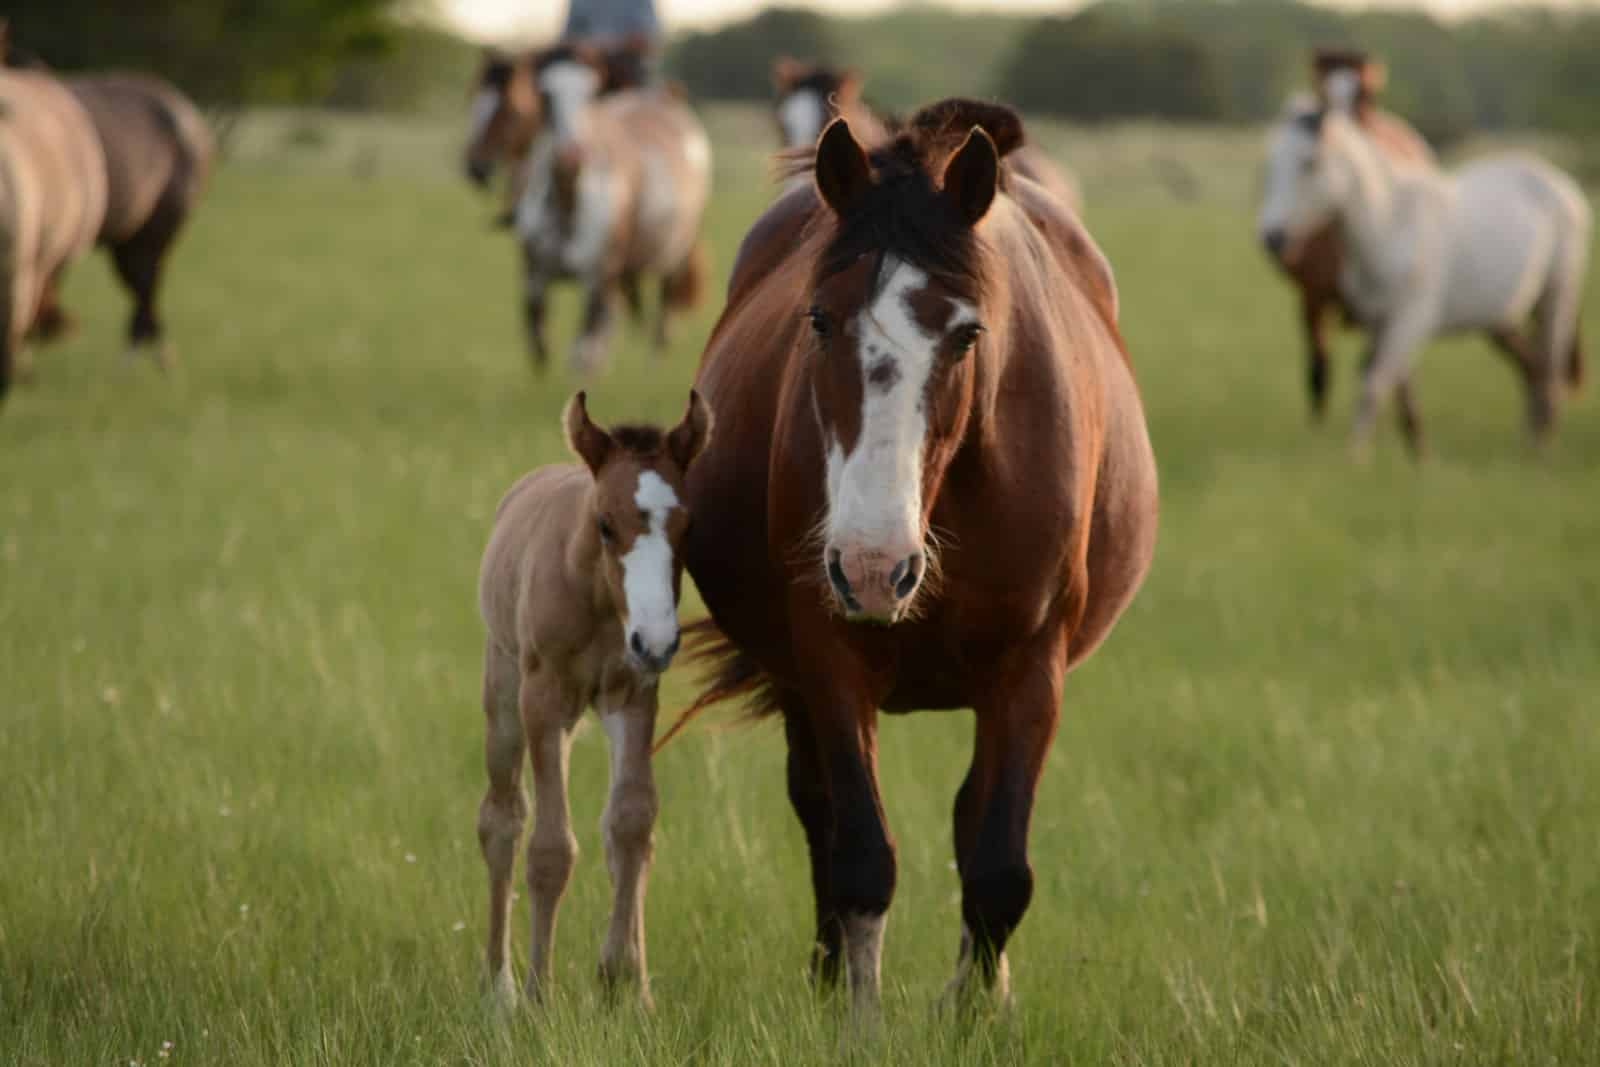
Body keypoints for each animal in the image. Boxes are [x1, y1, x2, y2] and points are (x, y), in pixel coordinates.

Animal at [476, 390, 712, 1011]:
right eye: (606, 523)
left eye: (688, 525)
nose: (656, 640)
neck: (601, 602)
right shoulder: (543, 701)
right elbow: (550, 847)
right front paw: (538, 997)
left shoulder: (634, 695)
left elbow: (631, 824)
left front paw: (627, 986)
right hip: (504, 694)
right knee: (501, 819)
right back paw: (499, 985)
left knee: (615, 830)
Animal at [512, 44, 710, 374]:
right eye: (545, 94)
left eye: (592, 93)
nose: (571, 157)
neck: (569, 205)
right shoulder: (534, 278)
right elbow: (540, 344)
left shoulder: (598, 279)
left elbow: (582, 353)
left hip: (675, 257)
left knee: (662, 318)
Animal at [664, 98, 1158, 1015]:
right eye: (819, 320)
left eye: (967, 335)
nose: (872, 566)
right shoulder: (829, 656)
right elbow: (860, 852)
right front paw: (854, 1013)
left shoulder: (1032, 669)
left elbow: (998, 865)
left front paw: (974, 1014)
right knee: (818, 808)